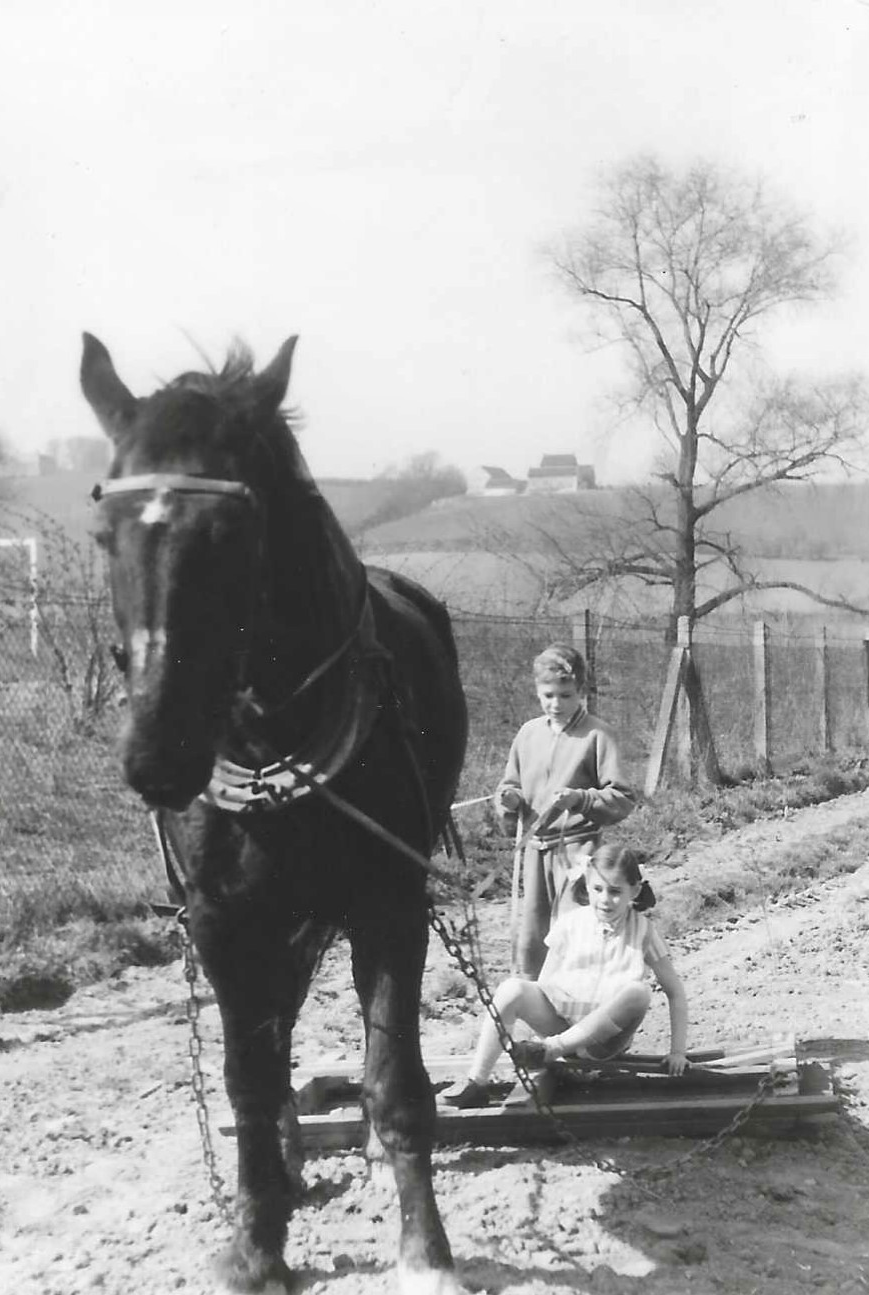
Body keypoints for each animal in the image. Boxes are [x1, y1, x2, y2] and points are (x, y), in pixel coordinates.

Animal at [80, 332, 469, 1294]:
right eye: (104, 534)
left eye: (231, 532)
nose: (158, 755)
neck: (273, 741)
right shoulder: (223, 918)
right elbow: (248, 1079)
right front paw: (257, 1244)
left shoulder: (389, 902)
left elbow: (394, 1076)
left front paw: (424, 1248)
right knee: (278, 1024)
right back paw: (291, 1161)